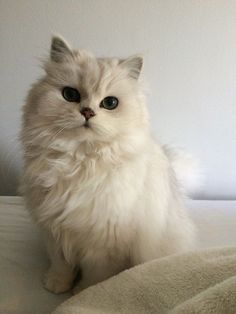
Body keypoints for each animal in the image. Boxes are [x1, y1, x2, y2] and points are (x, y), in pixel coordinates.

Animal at [20, 36, 195, 294]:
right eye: (70, 94)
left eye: (110, 103)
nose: (87, 112)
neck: (80, 160)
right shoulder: (54, 231)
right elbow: (61, 265)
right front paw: (57, 286)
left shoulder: (103, 245)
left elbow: (95, 278)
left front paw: (81, 294)